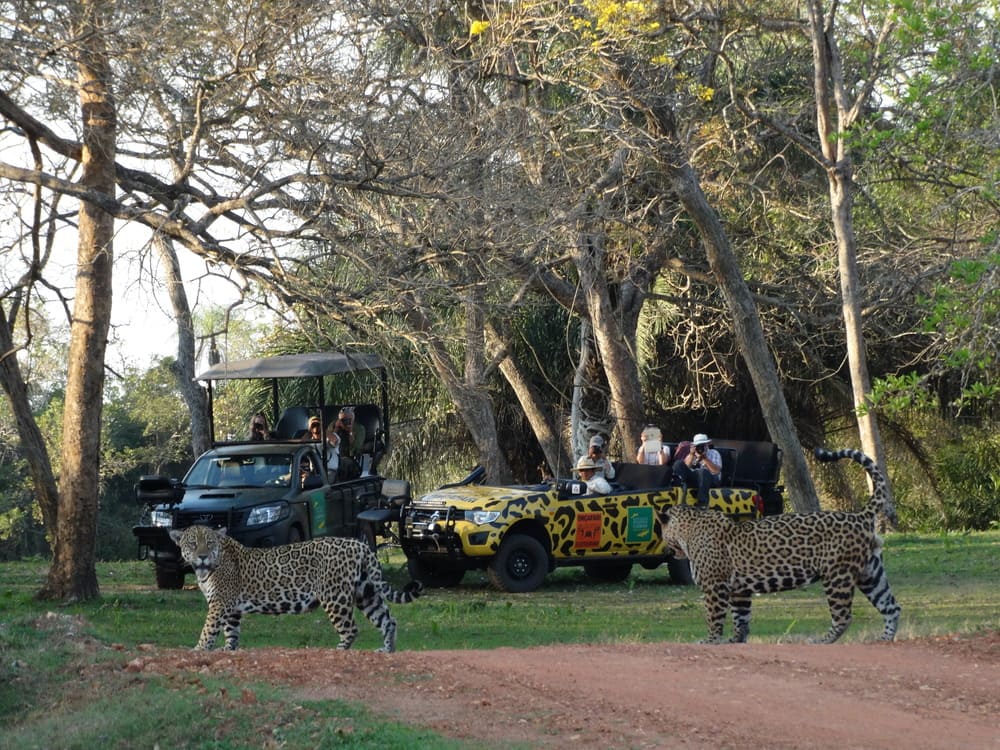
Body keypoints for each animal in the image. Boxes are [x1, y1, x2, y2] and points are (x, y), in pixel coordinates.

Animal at [168, 526, 423, 652]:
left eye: (209, 543)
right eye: (193, 544)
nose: (202, 556)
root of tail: (359, 544)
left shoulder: (220, 603)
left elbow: (208, 628)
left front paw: (199, 649)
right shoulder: (231, 607)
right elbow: (231, 631)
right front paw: (228, 649)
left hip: (334, 596)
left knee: (351, 628)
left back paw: (339, 650)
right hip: (365, 592)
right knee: (388, 620)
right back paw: (387, 650)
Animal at [660, 448, 900, 644]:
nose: (667, 548)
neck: (688, 529)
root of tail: (860, 515)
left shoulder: (714, 585)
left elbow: (713, 616)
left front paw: (711, 640)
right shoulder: (739, 589)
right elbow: (741, 618)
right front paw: (736, 639)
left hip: (837, 574)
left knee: (844, 616)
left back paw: (821, 640)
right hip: (871, 572)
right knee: (891, 607)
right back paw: (884, 639)